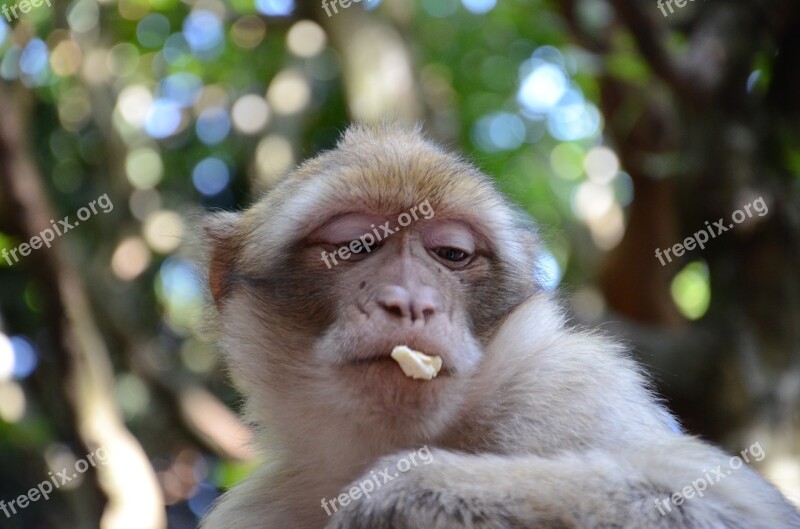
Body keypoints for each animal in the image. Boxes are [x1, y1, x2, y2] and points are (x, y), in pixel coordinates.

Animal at [202, 124, 800, 528]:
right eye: (355, 246)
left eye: (451, 253)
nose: (411, 302)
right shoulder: (258, 510)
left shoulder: (570, 384)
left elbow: (721, 502)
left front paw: (398, 495)